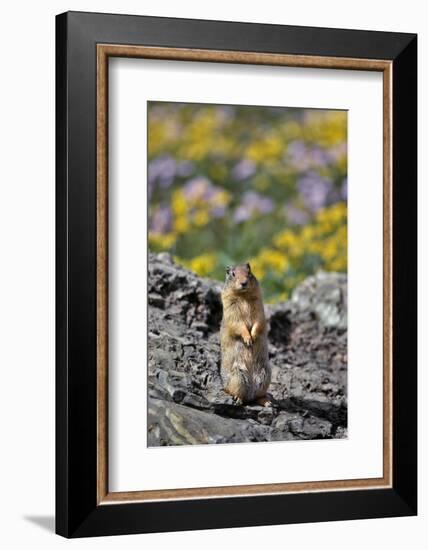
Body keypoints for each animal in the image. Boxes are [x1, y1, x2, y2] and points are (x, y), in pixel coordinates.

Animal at [221, 266, 270, 408]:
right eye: (232, 274)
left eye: (249, 272)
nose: (244, 283)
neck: (243, 296)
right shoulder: (230, 307)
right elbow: (238, 323)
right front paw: (248, 339)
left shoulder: (259, 306)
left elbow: (258, 321)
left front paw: (253, 336)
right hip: (238, 376)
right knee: (234, 391)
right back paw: (238, 399)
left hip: (265, 376)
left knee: (258, 396)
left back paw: (267, 401)